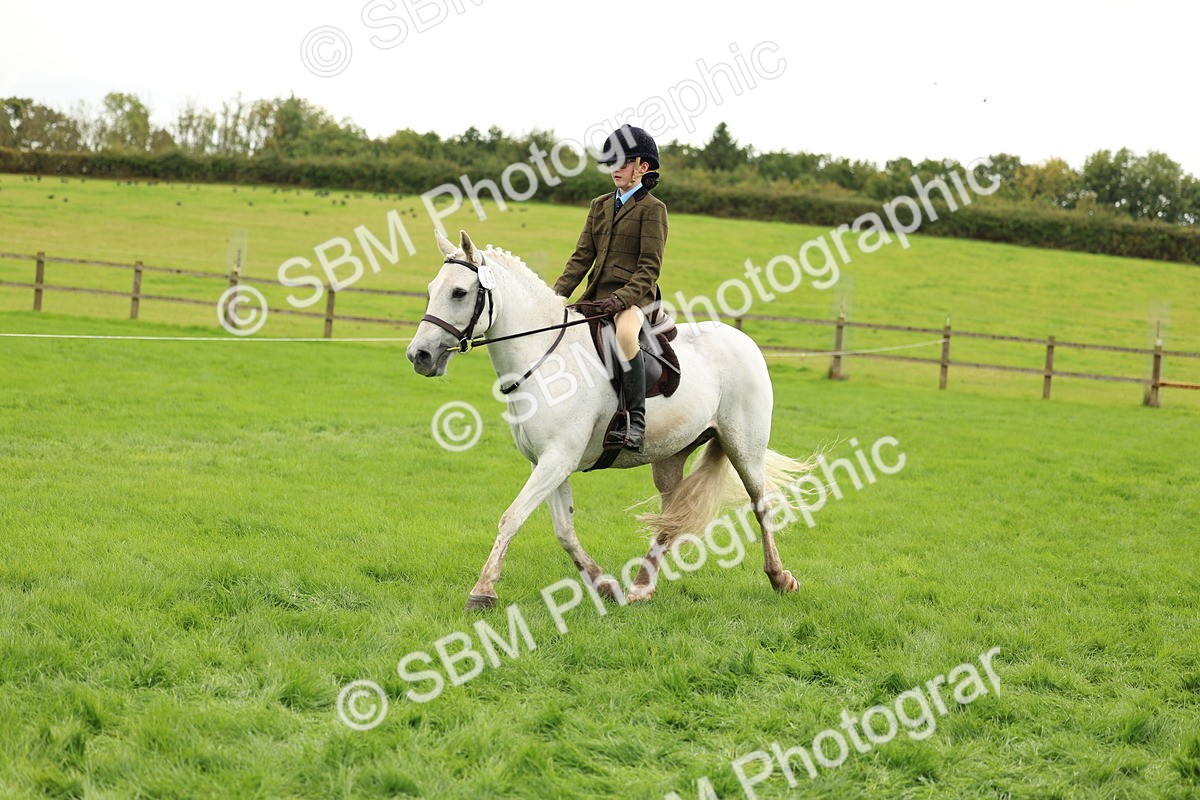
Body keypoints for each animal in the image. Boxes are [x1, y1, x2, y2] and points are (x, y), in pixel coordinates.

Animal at [407, 230, 815, 611]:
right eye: (431, 291)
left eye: (459, 292)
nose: (419, 355)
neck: (543, 358)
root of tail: (745, 341)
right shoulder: (549, 462)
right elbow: (564, 530)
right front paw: (603, 585)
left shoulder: (557, 459)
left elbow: (512, 517)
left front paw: (483, 591)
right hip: (672, 455)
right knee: (669, 517)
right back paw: (640, 587)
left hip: (744, 447)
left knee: (760, 504)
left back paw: (780, 578)